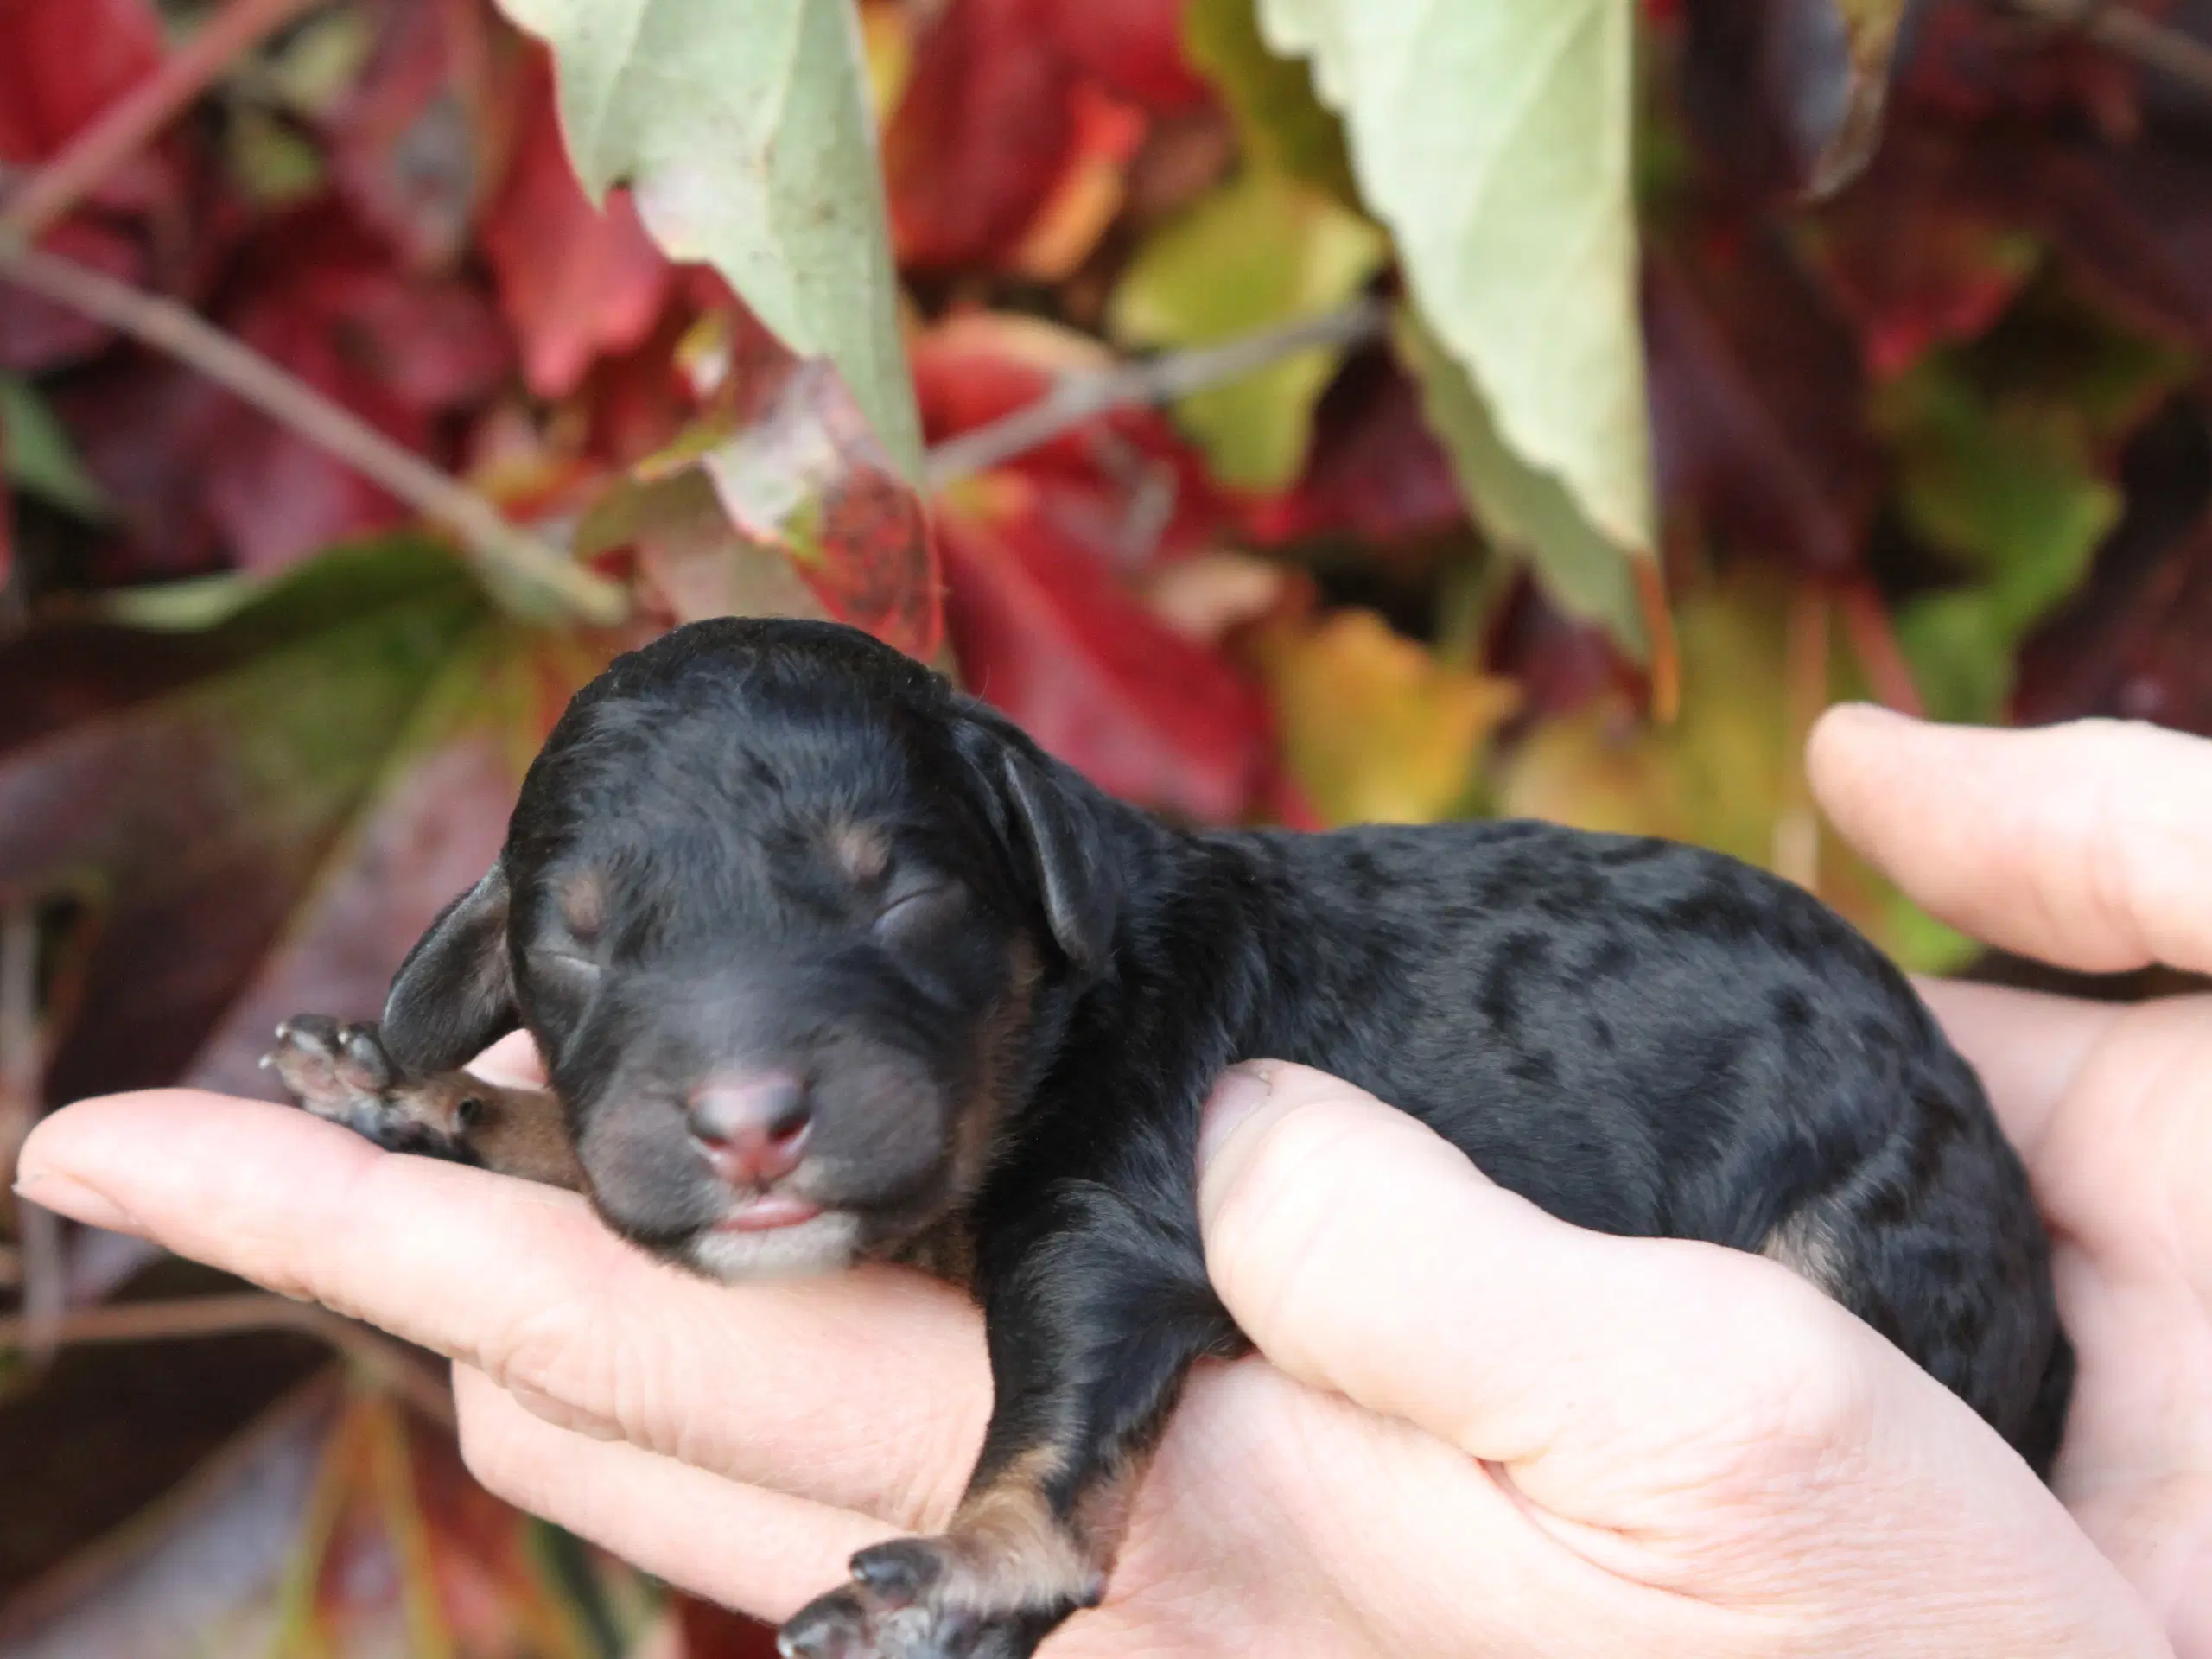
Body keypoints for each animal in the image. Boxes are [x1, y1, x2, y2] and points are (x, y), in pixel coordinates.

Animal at [263, 619, 2070, 1659]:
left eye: (900, 898)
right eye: (572, 949)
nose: (750, 1124)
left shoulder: (1113, 1214)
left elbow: (1057, 1422)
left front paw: (961, 1573)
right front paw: (413, 1088)